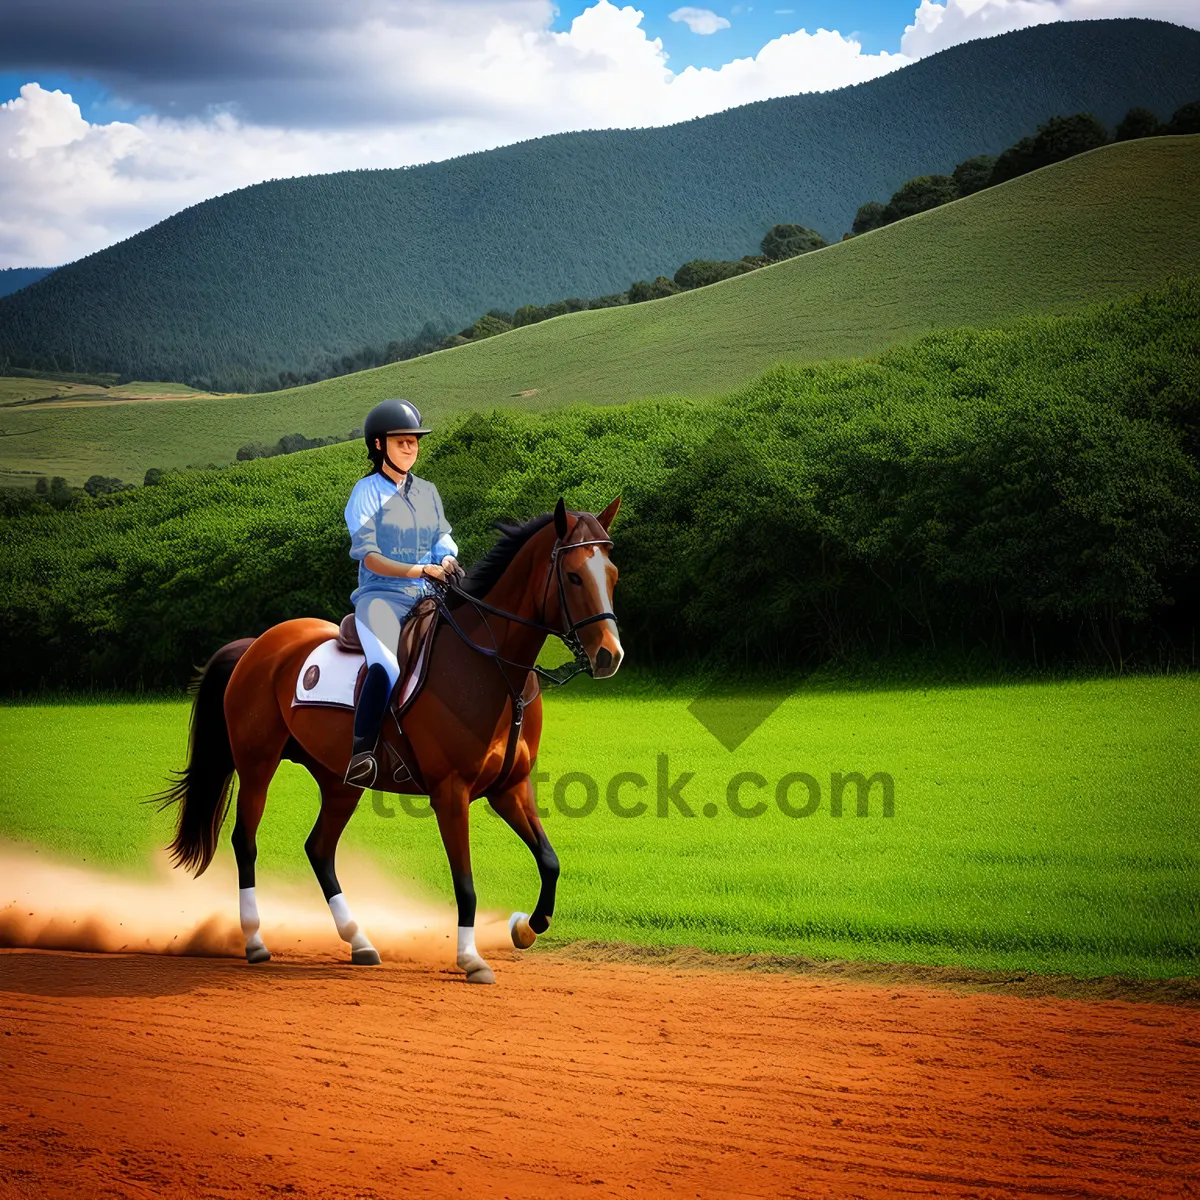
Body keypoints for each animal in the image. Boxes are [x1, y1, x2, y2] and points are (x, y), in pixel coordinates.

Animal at [154, 496, 624, 984]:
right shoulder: (450, 792)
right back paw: (255, 941)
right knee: (246, 842)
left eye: (612, 574)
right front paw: (471, 958)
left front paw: (526, 927)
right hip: (257, 766)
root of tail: (254, 645)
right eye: (573, 575)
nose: (610, 655)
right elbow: (465, 883)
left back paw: (359, 942)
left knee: (319, 849)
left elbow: (549, 861)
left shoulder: (510, 788)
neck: (490, 666)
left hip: (340, 782)